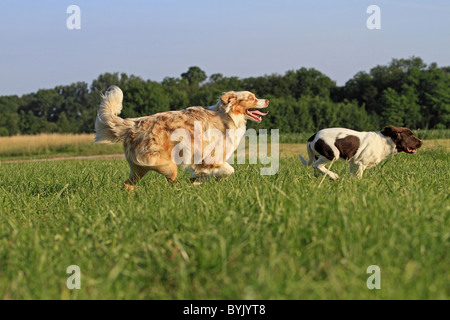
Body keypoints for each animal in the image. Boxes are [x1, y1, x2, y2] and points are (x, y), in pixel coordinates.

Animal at [94, 86, 268, 189]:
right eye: (252, 98)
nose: (267, 100)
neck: (227, 115)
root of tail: (133, 123)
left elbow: (204, 173)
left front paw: (197, 180)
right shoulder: (212, 156)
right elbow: (229, 170)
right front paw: (202, 179)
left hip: (138, 170)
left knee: (127, 184)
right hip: (167, 165)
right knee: (172, 181)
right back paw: (181, 188)